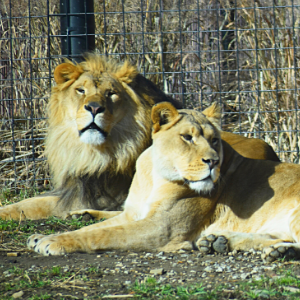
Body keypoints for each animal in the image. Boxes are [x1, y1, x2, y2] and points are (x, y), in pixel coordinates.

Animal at [0, 54, 278, 221]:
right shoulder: (72, 190)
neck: (94, 152)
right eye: (80, 90)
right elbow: (23, 204)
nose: (94, 108)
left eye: (111, 93)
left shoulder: (97, 194)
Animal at [25, 101, 296, 262]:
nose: (213, 161)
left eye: (214, 140)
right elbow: (94, 229)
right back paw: (220, 242)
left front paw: (53, 241)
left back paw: (280, 251)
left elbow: (103, 235)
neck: (156, 175)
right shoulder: (133, 214)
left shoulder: (162, 228)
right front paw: (41, 237)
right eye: (187, 137)